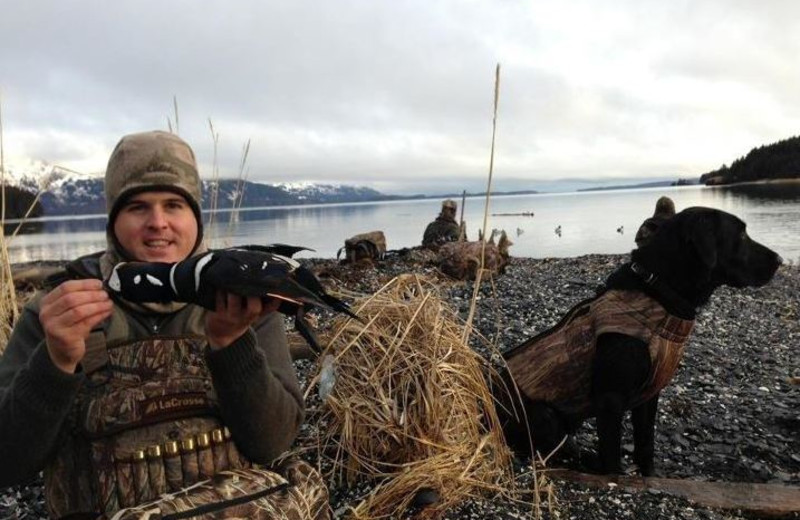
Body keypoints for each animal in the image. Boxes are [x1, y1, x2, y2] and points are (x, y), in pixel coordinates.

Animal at [500, 206, 780, 476]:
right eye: (741, 235)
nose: (779, 260)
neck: (658, 291)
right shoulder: (610, 400)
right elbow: (611, 456)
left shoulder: (648, 396)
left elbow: (645, 443)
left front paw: (650, 475)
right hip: (546, 416)